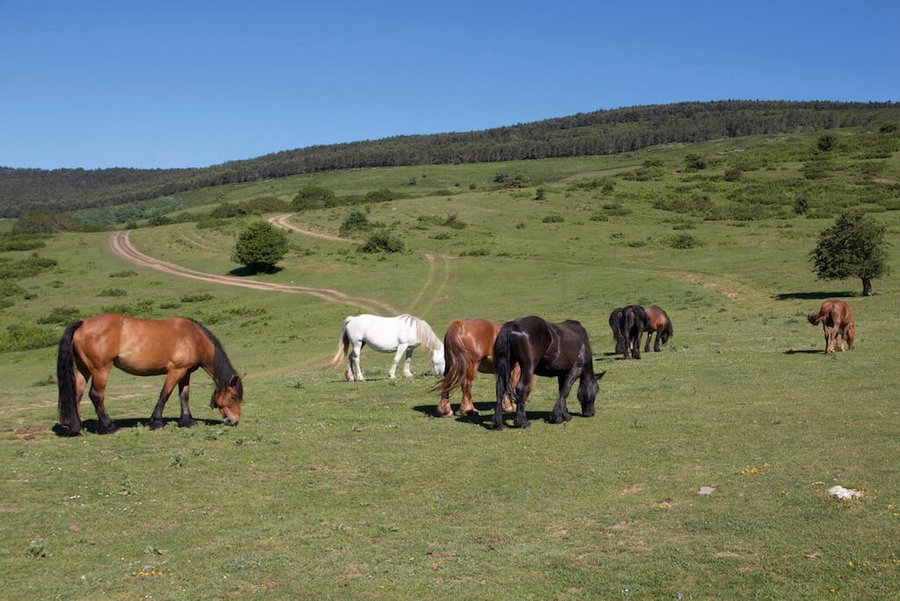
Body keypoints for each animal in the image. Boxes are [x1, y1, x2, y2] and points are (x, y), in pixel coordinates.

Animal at [56, 313, 244, 436]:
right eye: (234, 397)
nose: (234, 420)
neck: (194, 338)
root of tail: (83, 324)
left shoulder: (185, 372)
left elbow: (184, 396)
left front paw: (187, 421)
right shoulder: (175, 371)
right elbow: (164, 395)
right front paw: (156, 422)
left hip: (84, 369)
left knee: (77, 394)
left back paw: (76, 428)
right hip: (100, 370)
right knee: (96, 395)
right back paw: (109, 427)